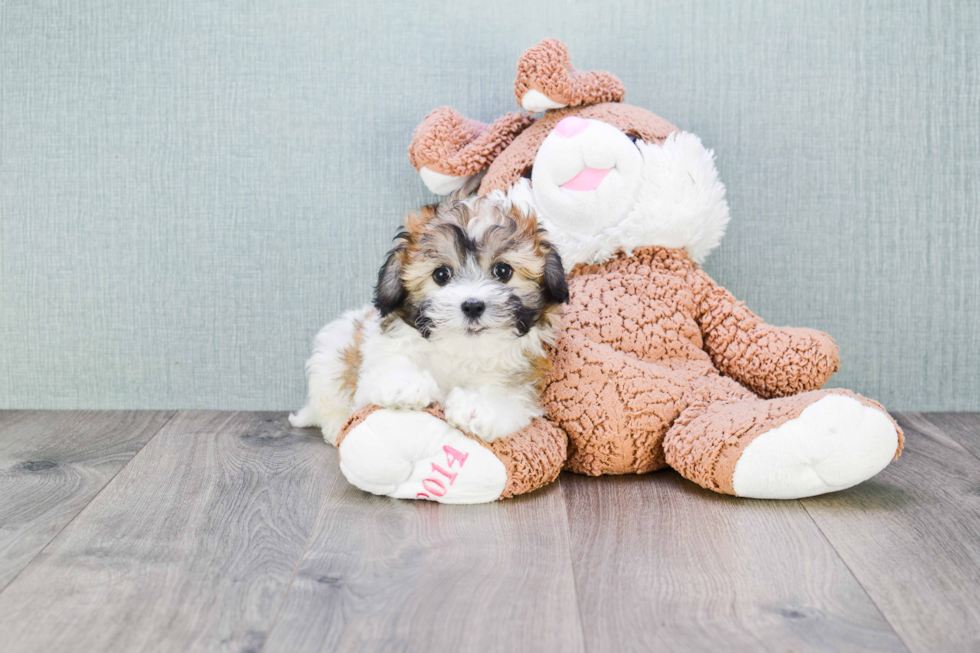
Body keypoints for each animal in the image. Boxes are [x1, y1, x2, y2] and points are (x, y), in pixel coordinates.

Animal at [288, 195, 572, 444]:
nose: (472, 306)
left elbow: (506, 396)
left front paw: (477, 408)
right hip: (329, 363)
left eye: (503, 271)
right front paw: (404, 384)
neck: (462, 350)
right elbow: (389, 366)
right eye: (441, 274)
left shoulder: (522, 380)